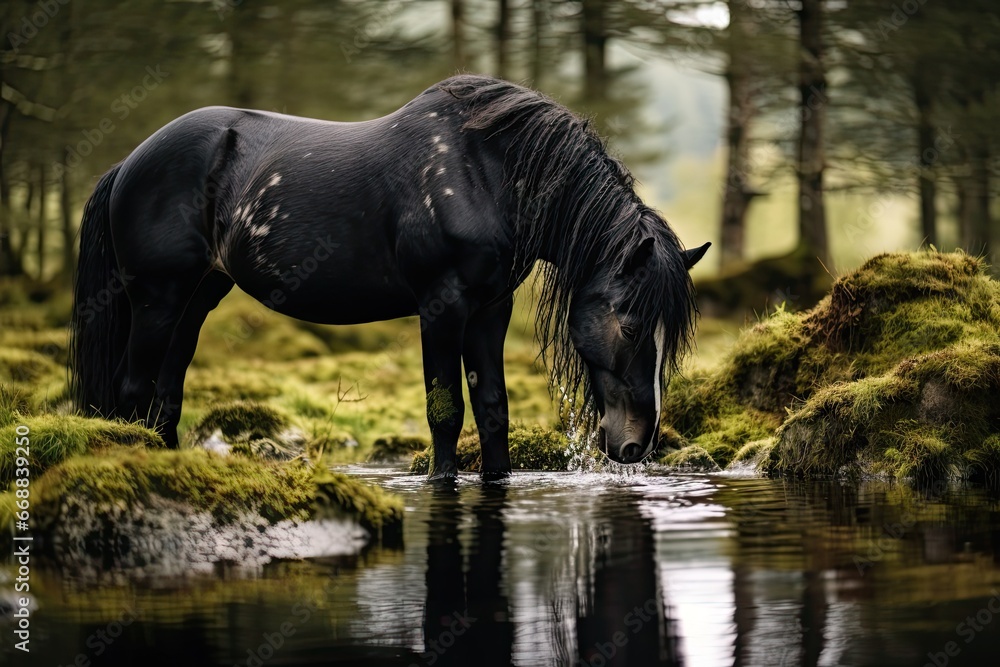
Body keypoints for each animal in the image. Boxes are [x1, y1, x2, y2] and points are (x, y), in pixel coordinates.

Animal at [68, 75, 712, 478]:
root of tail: (130, 162)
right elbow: (445, 412)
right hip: (156, 297)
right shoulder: (441, 307)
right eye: (631, 325)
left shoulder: (490, 309)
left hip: (197, 299)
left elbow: (494, 410)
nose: (637, 445)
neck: (485, 173)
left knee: (166, 396)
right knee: (133, 390)